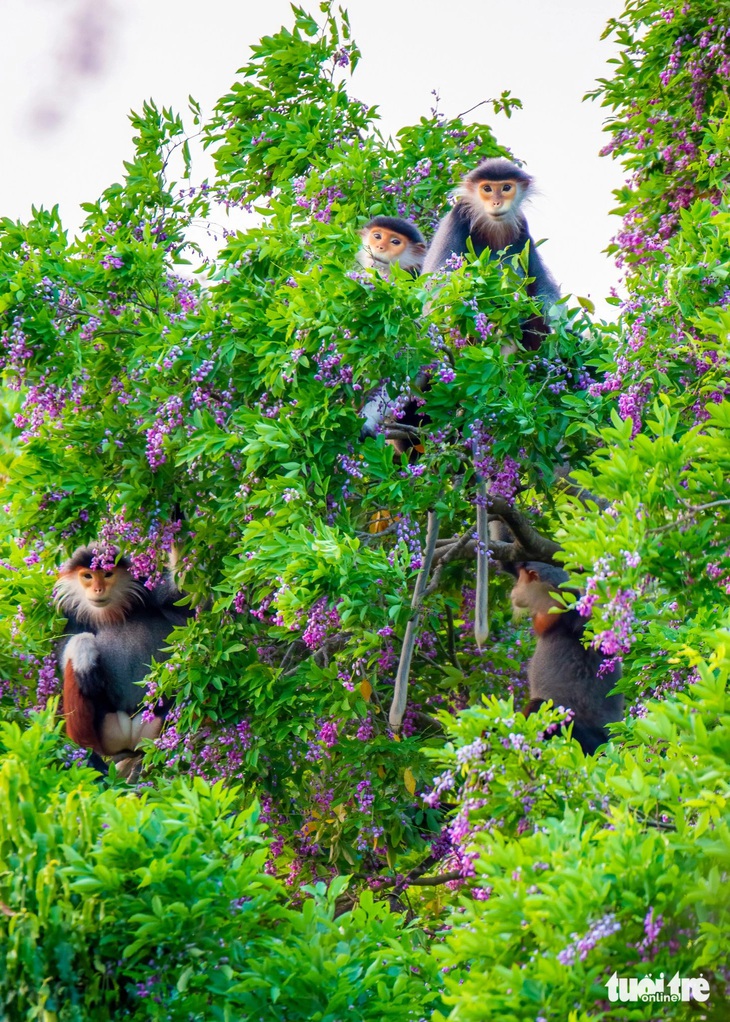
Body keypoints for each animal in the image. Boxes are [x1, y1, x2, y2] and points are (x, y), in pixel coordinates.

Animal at [54, 547, 193, 764]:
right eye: (88, 576)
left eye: (107, 574)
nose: (98, 590)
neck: (111, 613)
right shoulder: (73, 617)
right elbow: (64, 652)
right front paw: (83, 650)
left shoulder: (151, 591)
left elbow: (185, 595)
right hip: (106, 731)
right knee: (78, 671)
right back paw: (88, 755)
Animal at [421, 157, 556, 349]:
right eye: (487, 189)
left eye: (506, 188)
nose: (496, 203)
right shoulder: (457, 219)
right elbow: (435, 287)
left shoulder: (522, 228)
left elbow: (541, 287)